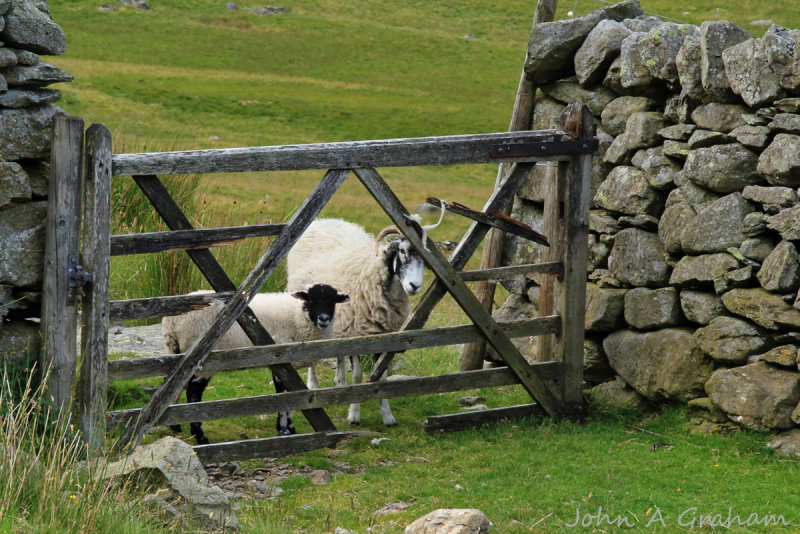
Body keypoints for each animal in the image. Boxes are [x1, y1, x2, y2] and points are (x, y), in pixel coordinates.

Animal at [161, 282, 348, 446]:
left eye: (333, 301)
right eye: (311, 299)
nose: (324, 319)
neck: (298, 315)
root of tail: (170, 322)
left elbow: (291, 394)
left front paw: (290, 427)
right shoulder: (280, 359)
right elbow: (282, 394)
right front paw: (283, 430)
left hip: (176, 353)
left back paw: (175, 425)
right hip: (201, 360)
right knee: (193, 392)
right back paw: (199, 436)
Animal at [286, 218, 428, 428]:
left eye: (425, 259)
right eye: (402, 251)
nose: (414, 286)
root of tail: (324, 220)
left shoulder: (383, 336)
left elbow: (381, 377)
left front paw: (387, 416)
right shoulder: (356, 333)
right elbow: (358, 375)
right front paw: (354, 414)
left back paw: (340, 381)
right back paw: (313, 385)